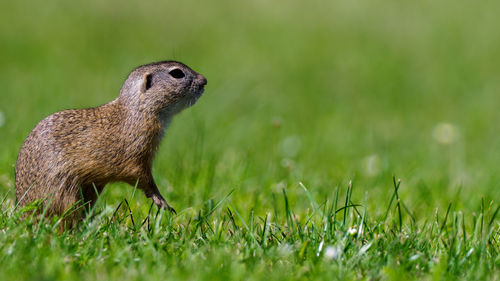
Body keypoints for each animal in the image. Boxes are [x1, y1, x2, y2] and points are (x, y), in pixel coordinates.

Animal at [14, 60, 207, 224]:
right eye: (177, 73)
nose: (204, 80)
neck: (136, 111)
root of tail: (24, 216)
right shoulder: (135, 154)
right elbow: (141, 177)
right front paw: (160, 200)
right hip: (66, 195)